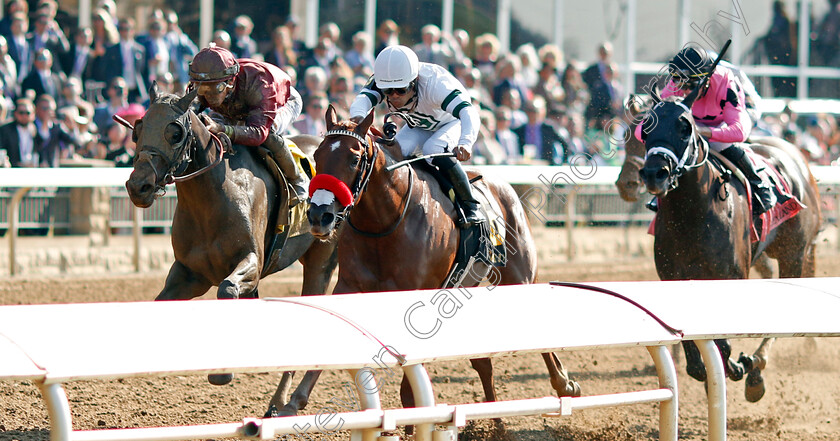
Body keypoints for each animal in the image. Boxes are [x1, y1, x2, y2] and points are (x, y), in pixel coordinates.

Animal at [124, 84, 338, 408]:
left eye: (175, 132)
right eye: (138, 129)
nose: (139, 186)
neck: (213, 197)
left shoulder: (251, 262)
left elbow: (226, 289)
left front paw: (222, 372)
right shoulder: (190, 274)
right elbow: (161, 303)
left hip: (321, 259)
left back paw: (282, 401)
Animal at [270, 105, 576, 420]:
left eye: (354, 158)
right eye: (317, 157)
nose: (319, 216)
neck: (386, 221)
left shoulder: (418, 296)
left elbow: (409, 385)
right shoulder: (350, 286)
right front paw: (291, 403)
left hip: (519, 275)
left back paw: (564, 384)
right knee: (483, 362)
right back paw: (495, 417)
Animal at [636, 93, 820, 402]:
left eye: (685, 128)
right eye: (645, 129)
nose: (654, 174)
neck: (692, 215)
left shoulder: (730, 277)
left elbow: (723, 345)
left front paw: (738, 366)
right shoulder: (674, 278)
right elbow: (695, 358)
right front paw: (710, 372)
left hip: (793, 254)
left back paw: (756, 370)